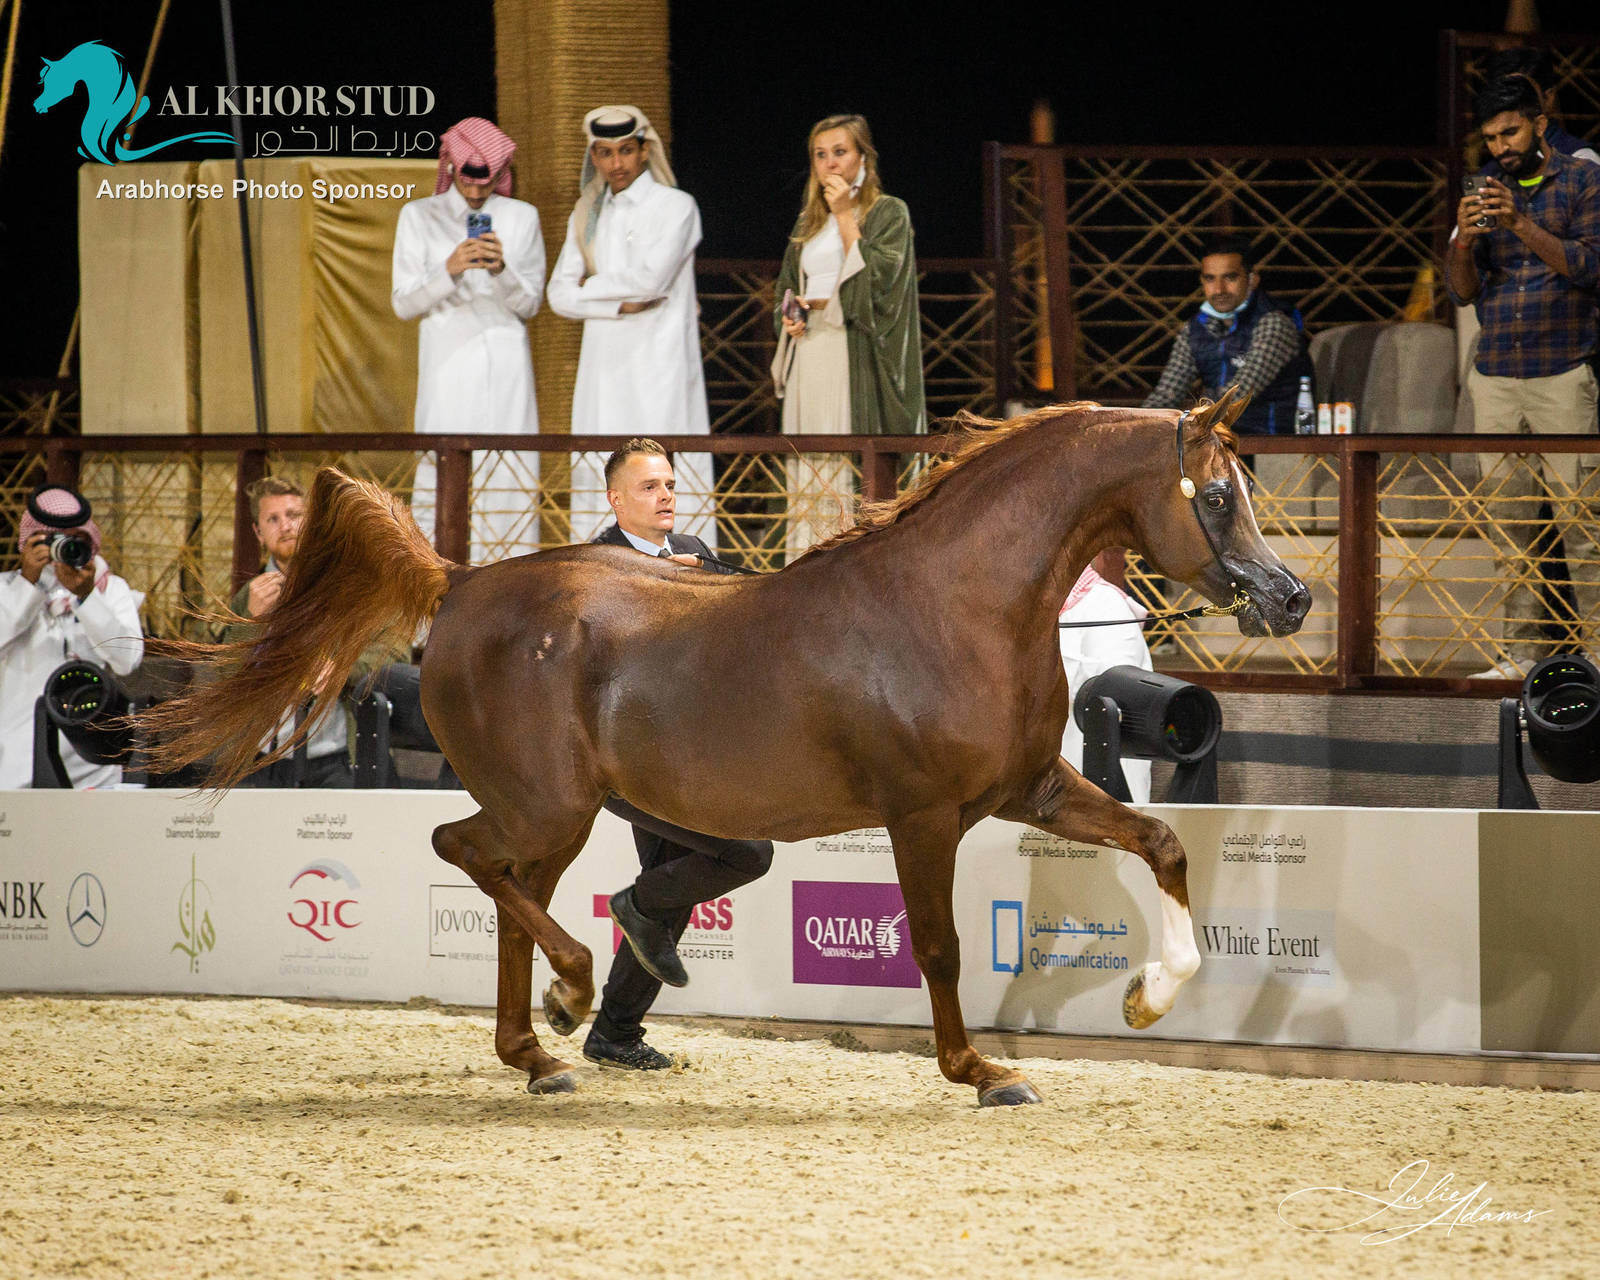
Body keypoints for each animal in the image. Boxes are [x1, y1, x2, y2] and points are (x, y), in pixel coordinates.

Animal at [141, 391, 1310, 1106]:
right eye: (1215, 494)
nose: (1290, 597)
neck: (958, 604)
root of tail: (461, 584)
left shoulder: (1030, 786)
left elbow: (1161, 840)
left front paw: (1151, 995)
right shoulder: (923, 815)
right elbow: (937, 947)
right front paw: (980, 1068)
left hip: (556, 816)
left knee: (512, 889)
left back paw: (542, 1048)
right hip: (546, 803)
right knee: (461, 850)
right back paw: (574, 995)